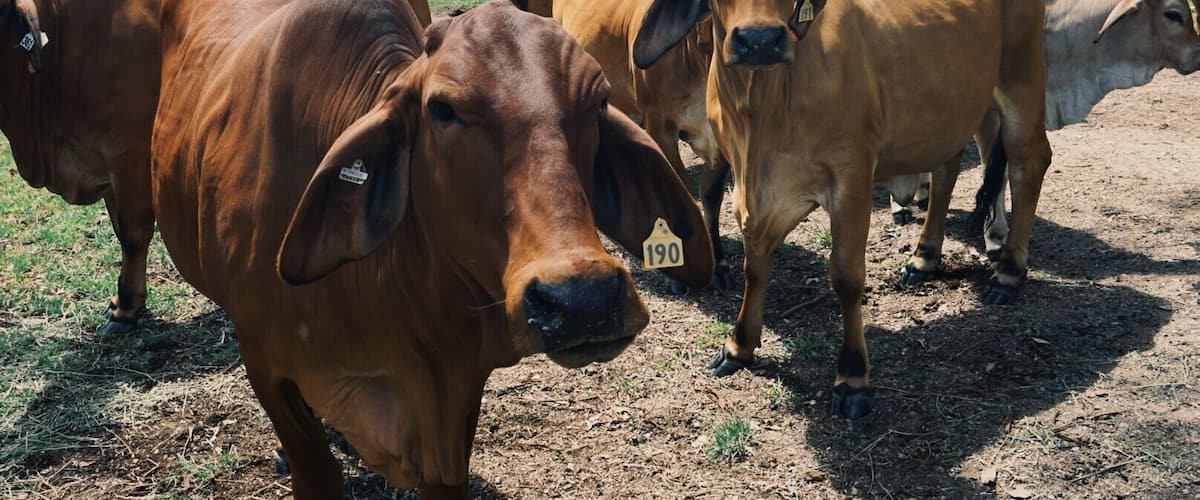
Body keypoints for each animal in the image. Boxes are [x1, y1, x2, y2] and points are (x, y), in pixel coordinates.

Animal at [150, 0, 713, 496]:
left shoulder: (455, 394)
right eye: (442, 109)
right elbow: (316, 468)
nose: (583, 299)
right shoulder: (265, 365)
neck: (374, 296)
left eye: (597, 102)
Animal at [633, 0, 1053, 419]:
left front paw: (852, 378)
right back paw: (923, 259)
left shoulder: (851, 178)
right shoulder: (747, 186)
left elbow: (846, 278)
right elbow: (755, 268)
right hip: (945, 112)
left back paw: (1008, 273)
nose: (760, 40)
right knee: (947, 169)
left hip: (1022, 74)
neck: (761, 105)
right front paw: (739, 346)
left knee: (1029, 161)